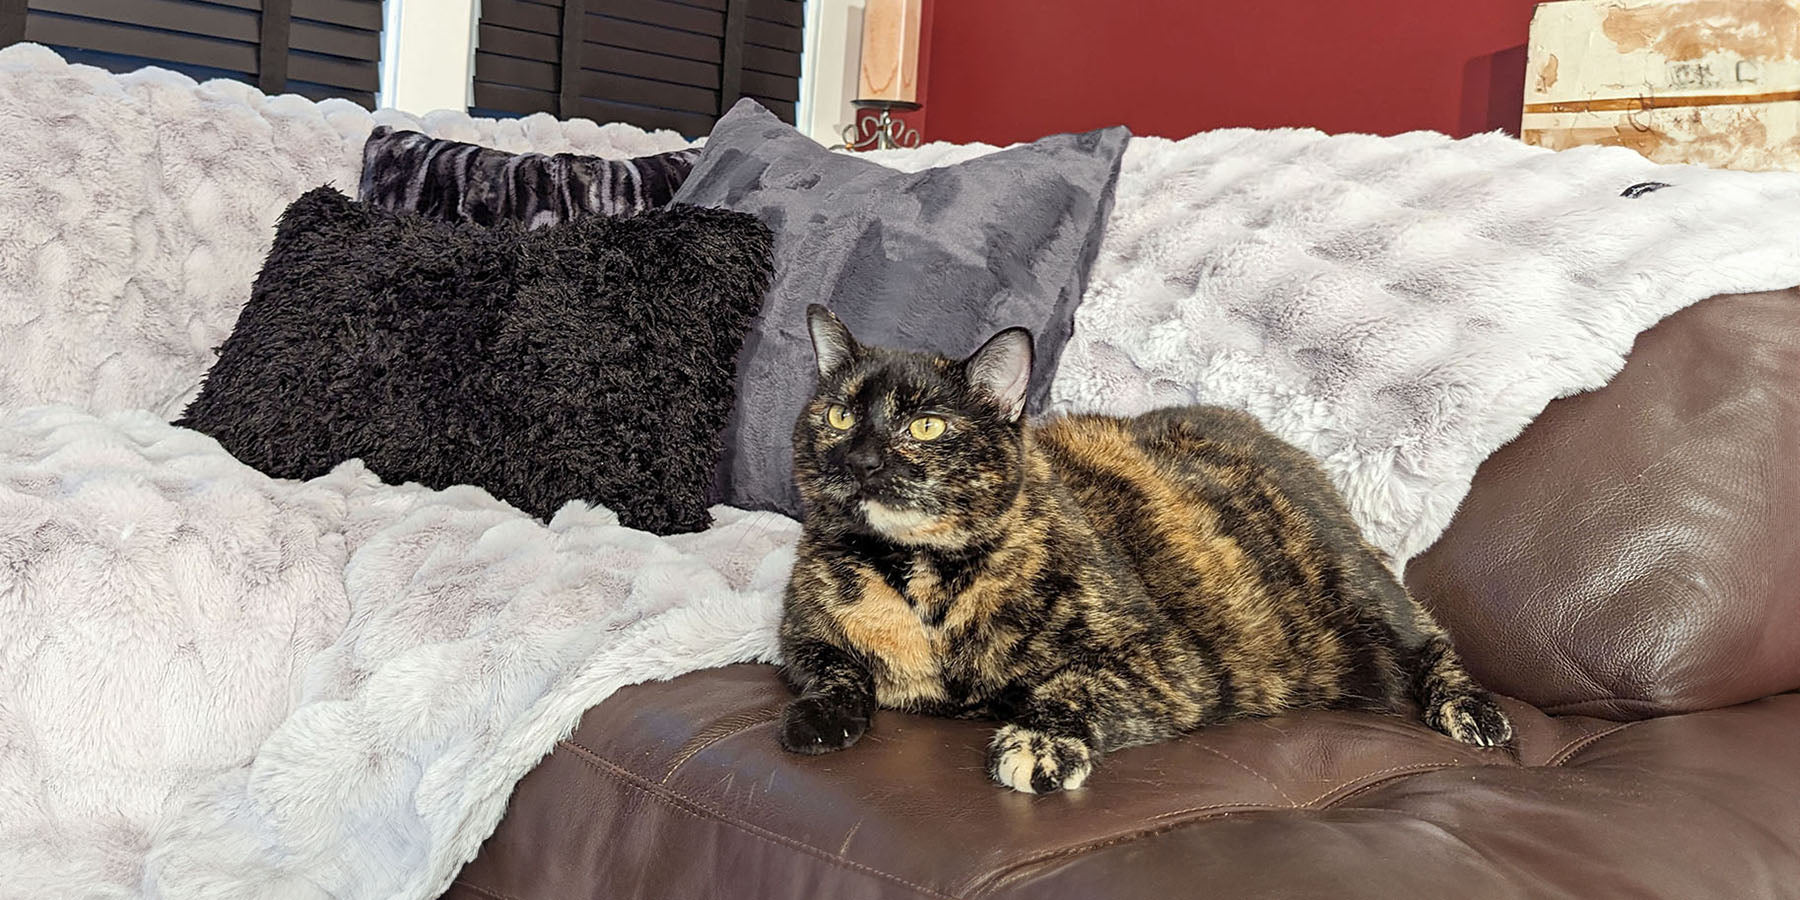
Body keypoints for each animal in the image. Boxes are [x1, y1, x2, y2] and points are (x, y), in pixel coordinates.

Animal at [781, 306, 1512, 792]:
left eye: (926, 426)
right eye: (839, 415)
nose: (861, 459)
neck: (918, 579)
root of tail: (1259, 429)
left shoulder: (1167, 662)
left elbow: (1077, 684)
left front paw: (1039, 741)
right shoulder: (799, 633)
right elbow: (832, 666)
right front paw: (818, 718)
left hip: (1362, 594)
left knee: (1430, 639)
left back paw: (1473, 713)